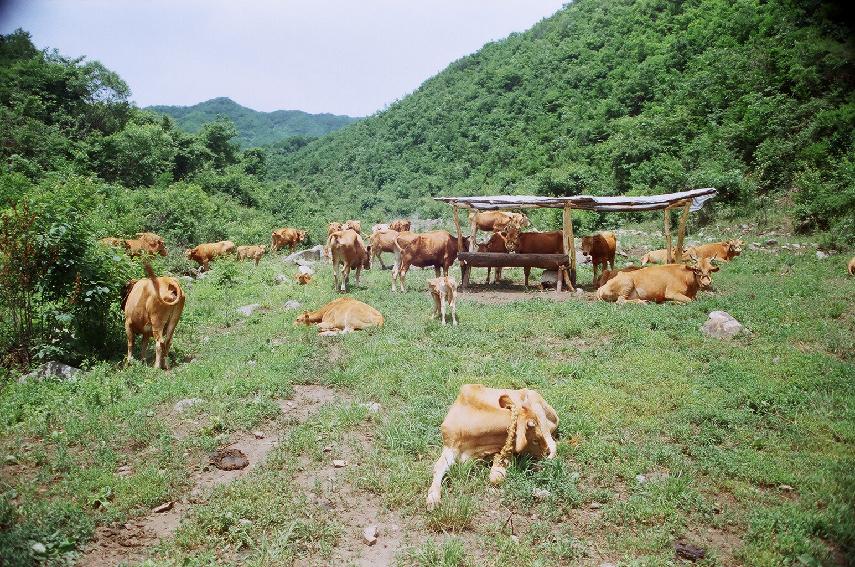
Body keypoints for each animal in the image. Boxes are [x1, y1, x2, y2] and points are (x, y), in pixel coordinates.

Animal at [424, 384, 560, 508]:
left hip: (537, 407)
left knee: (553, 446)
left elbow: (496, 475)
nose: (545, 452)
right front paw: (433, 497)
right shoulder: (450, 446)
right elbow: (438, 467)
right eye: (535, 440)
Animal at [596, 256, 724, 304]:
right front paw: (673, 302)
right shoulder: (671, 292)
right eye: (697, 269)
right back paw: (643, 302)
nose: (706, 283)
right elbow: (689, 300)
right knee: (621, 301)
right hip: (627, 283)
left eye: (710, 270)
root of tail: (601, 287)